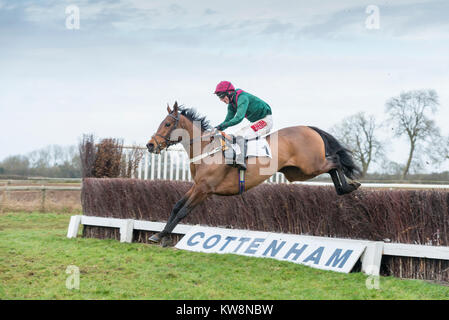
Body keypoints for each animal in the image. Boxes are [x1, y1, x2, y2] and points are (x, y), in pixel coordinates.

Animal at [147, 102, 360, 242]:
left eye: (167, 124)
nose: (150, 145)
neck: (207, 148)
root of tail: (308, 127)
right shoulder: (197, 186)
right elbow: (176, 206)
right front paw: (159, 234)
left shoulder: (205, 189)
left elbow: (184, 210)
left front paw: (162, 236)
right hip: (298, 172)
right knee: (332, 166)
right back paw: (346, 188)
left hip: (311, 165)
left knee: (336, 161)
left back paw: (348, 187)